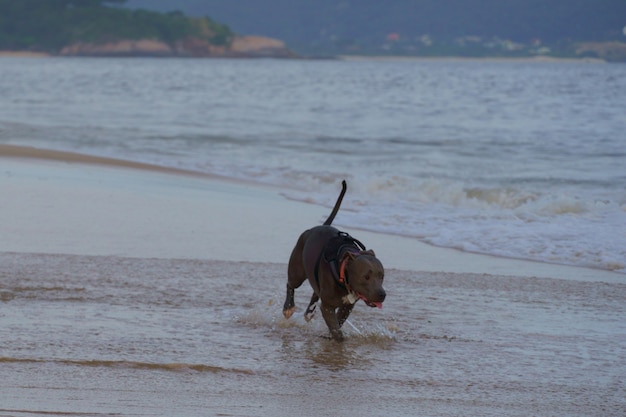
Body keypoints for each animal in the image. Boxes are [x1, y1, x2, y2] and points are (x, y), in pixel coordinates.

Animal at [282, 180, 386, 340]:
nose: (382, 294)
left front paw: (331, 334)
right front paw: (336, 338)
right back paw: (288, 307)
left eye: (382, 276)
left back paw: (309, 313)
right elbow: (336, 328)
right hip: (297, 271)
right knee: (290, 284)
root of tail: (318, 227)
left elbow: (338, 321)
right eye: (366, 277)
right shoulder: (327, 306)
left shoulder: (347, 306)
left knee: (315, 292)